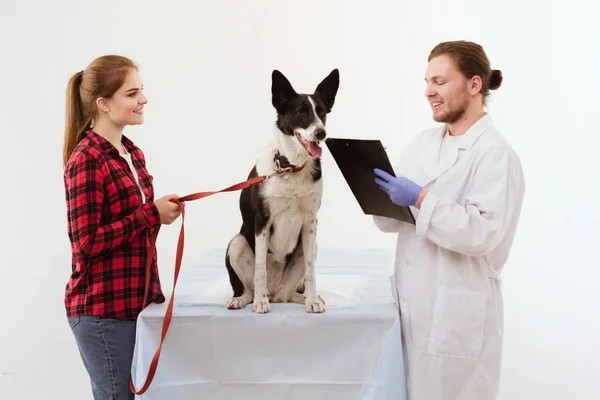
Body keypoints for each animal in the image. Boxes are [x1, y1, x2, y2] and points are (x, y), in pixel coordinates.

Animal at [224, 68, 340, 312]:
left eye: (321, 112)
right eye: (300, 112)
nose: (321, 133)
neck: (290, 167)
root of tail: (276, 293)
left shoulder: (311, 222)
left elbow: (311, 272)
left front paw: (313, 300)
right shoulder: (262, 221)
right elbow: (260, 269)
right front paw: (260, 302)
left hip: (309, 250)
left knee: (292, 290)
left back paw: (302, 298)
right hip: (237, 243)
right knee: (248, 287)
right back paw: (246, 298)